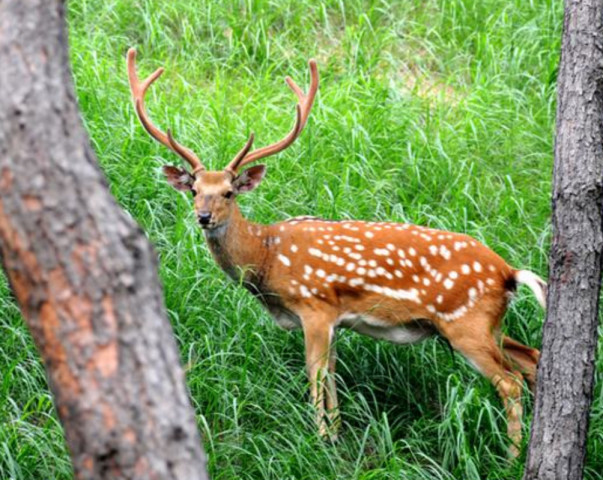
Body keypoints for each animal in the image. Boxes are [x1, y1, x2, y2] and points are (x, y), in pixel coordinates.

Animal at [127, 48, 548, 458]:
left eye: (229, 193)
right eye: (195, 190)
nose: (203, 217)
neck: (266, 257)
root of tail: (508, 272)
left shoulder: (315, 306)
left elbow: (315, 375)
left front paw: (319, 439)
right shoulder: (336, 320)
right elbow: (331, 375)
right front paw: (336, 435)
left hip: (466, 322)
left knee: (509, 383)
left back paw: (511, 457)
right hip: (487, 323)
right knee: (532, 358)